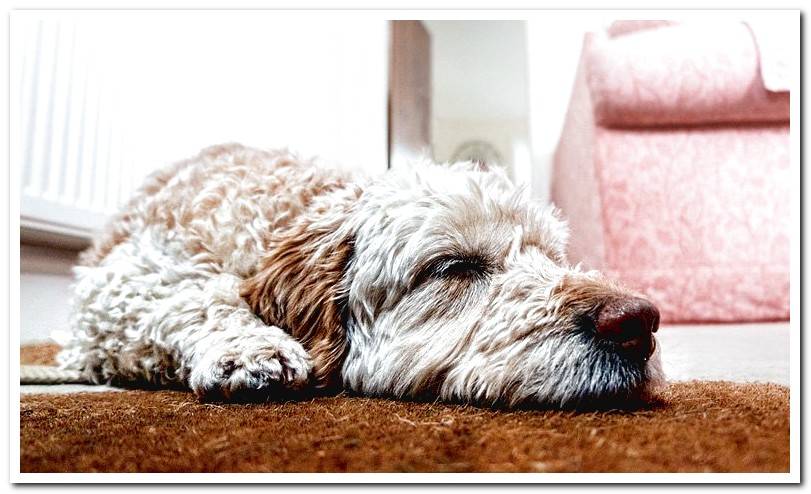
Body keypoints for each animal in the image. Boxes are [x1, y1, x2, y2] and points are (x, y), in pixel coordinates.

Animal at [57, 143, 668, 410]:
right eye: (454, 267)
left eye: (553, 258)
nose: (639, 322)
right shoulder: (124, 276)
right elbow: (194, 295)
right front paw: (248, 347)